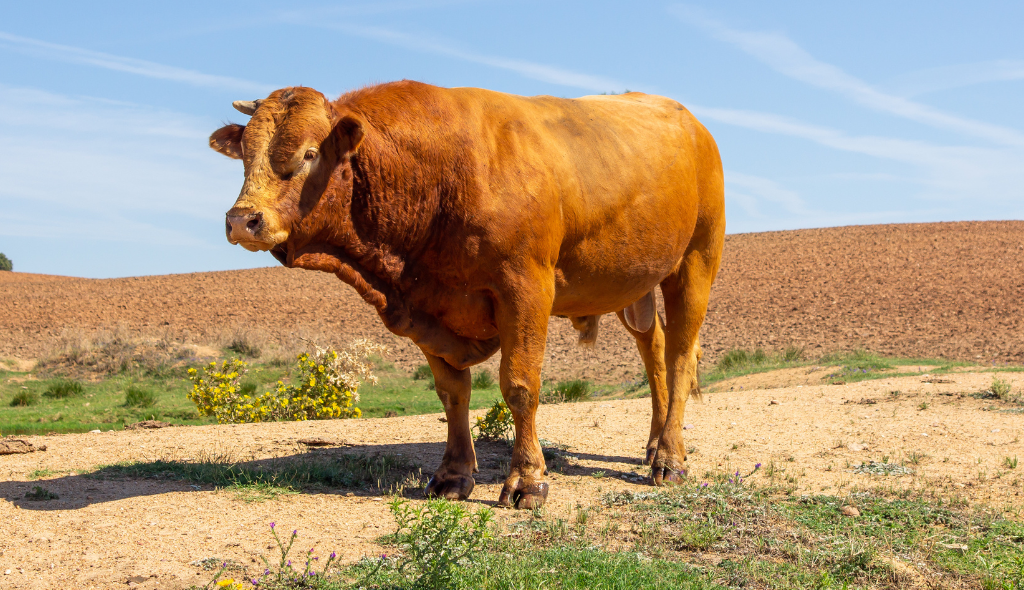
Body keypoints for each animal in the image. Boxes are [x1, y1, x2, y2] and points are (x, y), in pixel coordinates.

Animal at [207, 80, 724, 510]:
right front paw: (453, 475)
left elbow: (520, 387)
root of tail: (692, 124)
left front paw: (527, 480)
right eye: (246, 155)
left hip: (695, 262)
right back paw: (655, 445)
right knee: (654, 351)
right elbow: (452, 393)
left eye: (310, 153)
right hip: (634, 285)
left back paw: (670, 459)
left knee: (680, 357)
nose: (242, 220)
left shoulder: (525, 290)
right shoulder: (425, 305)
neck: (436, 173)